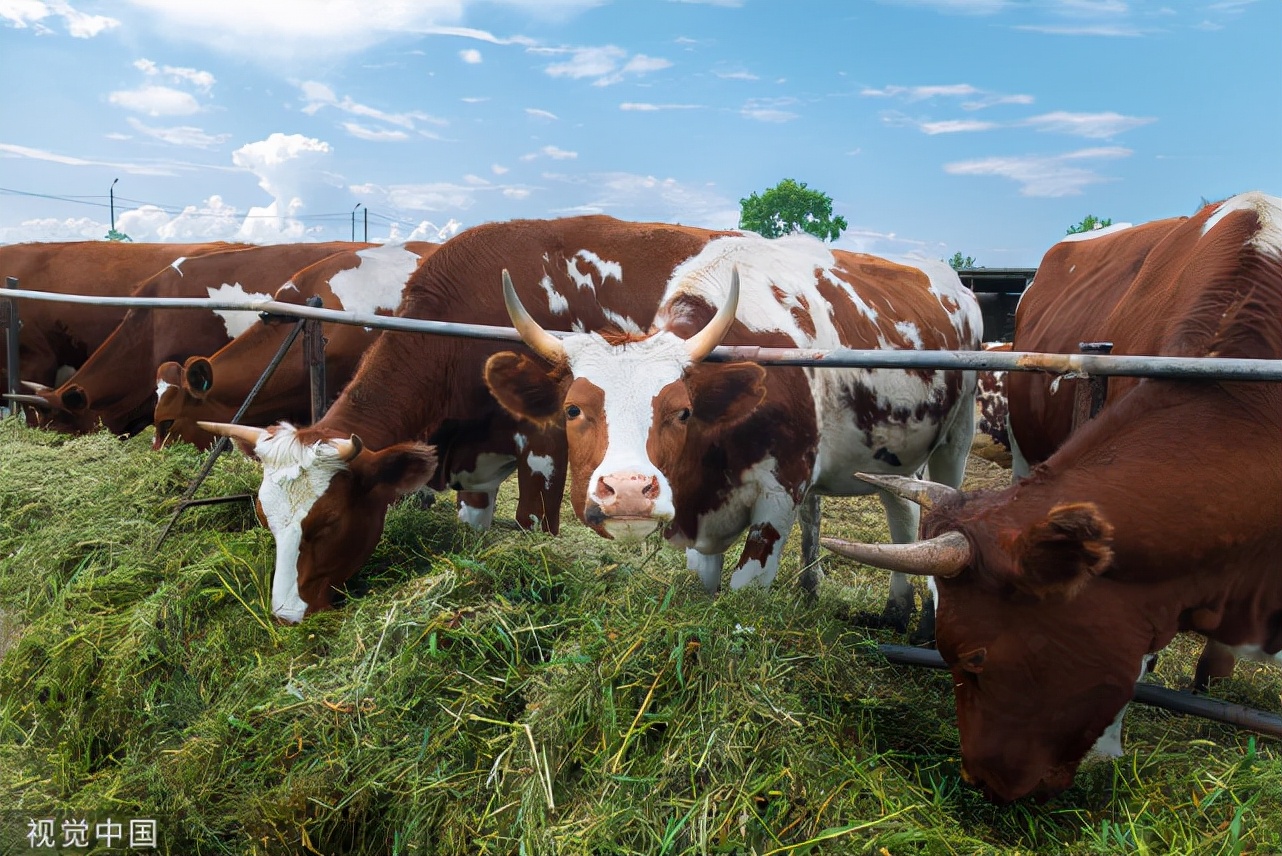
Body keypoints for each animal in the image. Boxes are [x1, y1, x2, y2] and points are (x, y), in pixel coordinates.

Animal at [197, 214, 712, 622]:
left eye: (328, 521)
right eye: (265, 517)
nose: (286, 614)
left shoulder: (543, 447)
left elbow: (534, 523)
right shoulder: (476, 461)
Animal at [484, 226, 974, 627]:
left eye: (682, 411)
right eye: (572, 409)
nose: (627, 492)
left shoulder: (781, 494)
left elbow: (744, 593)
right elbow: (705, 587)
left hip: (957, 436)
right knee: (901, 509)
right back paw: (888, 609)